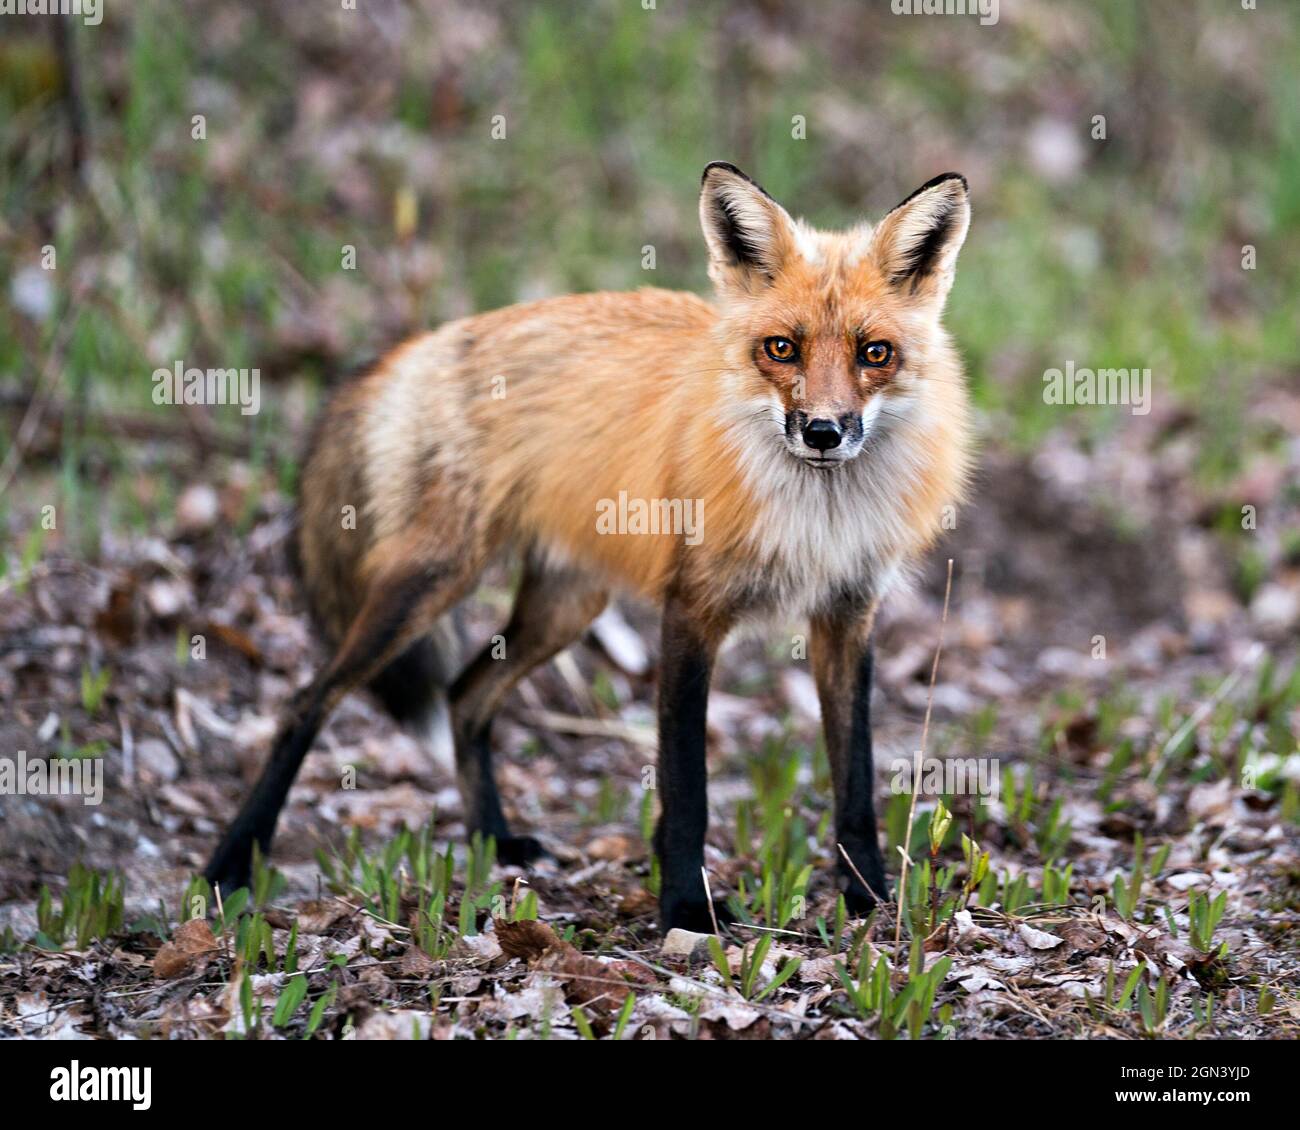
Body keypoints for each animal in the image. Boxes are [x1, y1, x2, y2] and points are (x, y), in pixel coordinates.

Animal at [208, 163, 972, 931]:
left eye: (874, 354)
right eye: (782, 348)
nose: (821, 432)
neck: (818, 518)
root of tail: (422, 345)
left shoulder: (847, 617)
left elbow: (855, 780)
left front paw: (866, 897)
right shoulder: (690, 611)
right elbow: (685, 786)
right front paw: (686, 908)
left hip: (565, 607)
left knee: (464, 696)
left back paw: (494, 842)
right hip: (429, 583)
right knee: (306, 703)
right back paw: (231, 864)